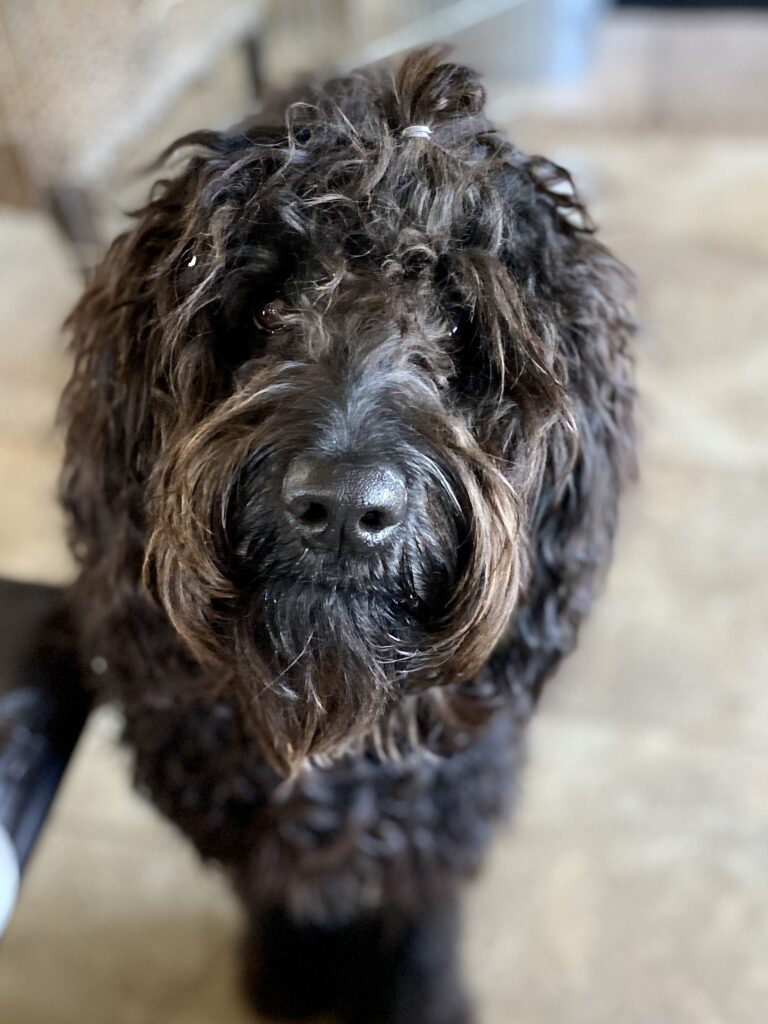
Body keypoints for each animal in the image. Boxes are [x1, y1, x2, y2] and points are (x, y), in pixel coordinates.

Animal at [58, 49, 638, 1024]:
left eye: (456, 321)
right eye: (264, 309)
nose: (342, 507)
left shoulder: (436, 833)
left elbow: (419, 918)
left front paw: (423, 1000)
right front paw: (286, 976)